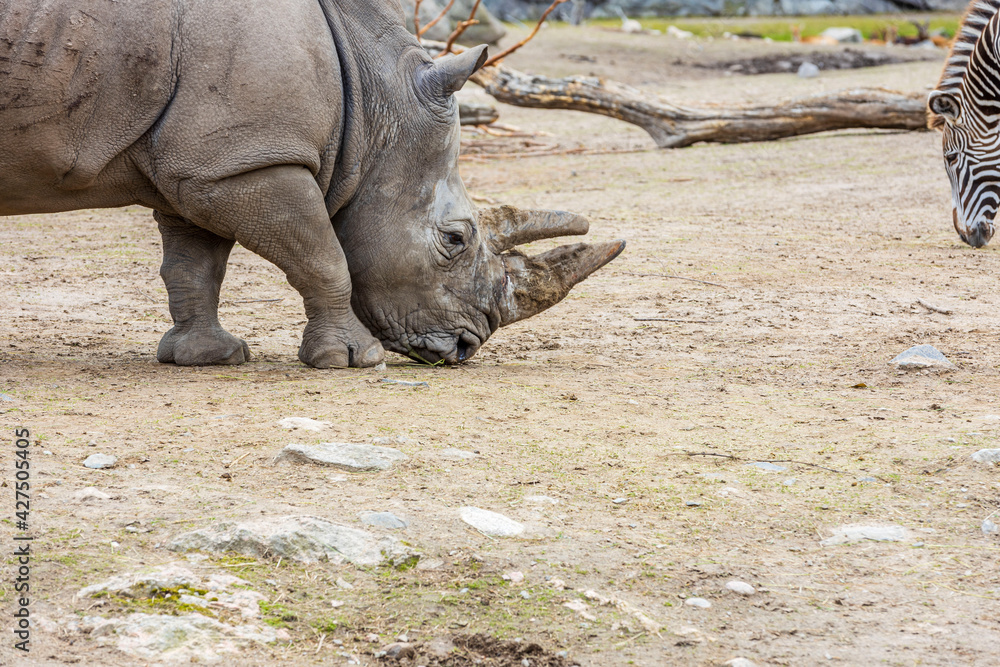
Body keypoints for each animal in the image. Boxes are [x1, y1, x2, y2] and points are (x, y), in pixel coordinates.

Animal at [0, 0, 624, 367]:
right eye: (455, 240)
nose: (466, 347)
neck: (373, 103)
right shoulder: (250, 161)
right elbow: (324, 256)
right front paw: (352, 361)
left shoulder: (207, 164)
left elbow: (194, 265)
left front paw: (207, 357)